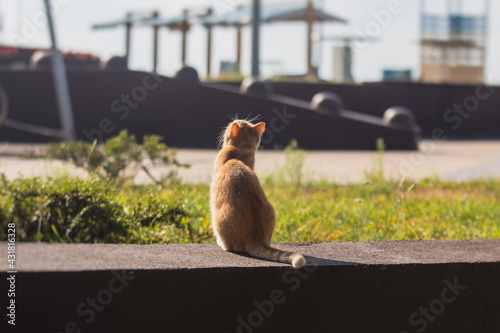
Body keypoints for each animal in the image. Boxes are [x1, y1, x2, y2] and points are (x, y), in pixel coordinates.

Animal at [210, 118, 304, 268]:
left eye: (230, 126)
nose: (233, 120)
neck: (240, 150)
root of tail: (255, 240)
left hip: (218, 218)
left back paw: (221, 244)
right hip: (271, 210)